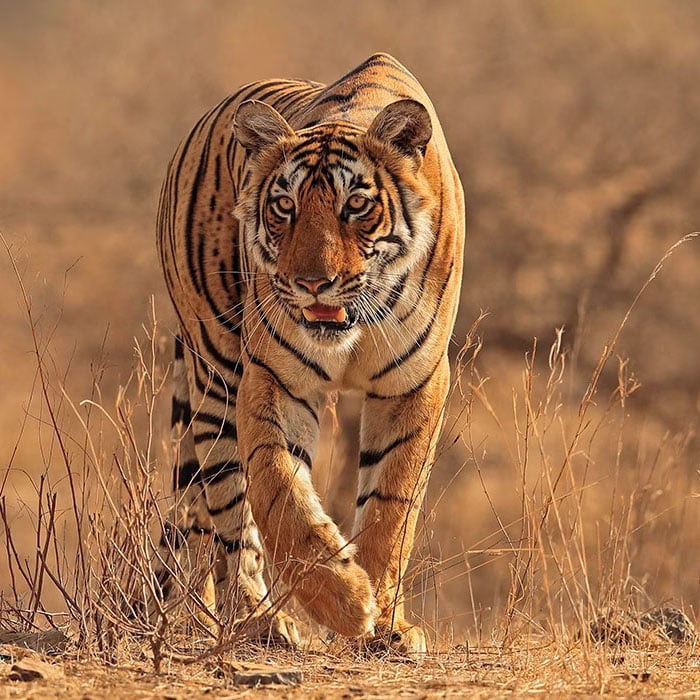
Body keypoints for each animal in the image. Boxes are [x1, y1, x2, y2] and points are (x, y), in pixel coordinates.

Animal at [155, 53, 465, 656]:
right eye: (284, 206)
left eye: (356, 206)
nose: (312, 283)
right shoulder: (275, 377)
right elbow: (279, 493)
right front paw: (343, 601)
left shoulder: (413, 383)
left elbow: (391, 508)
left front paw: (385, 624)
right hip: (214, 377)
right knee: (229, 518)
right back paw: (258, 621)